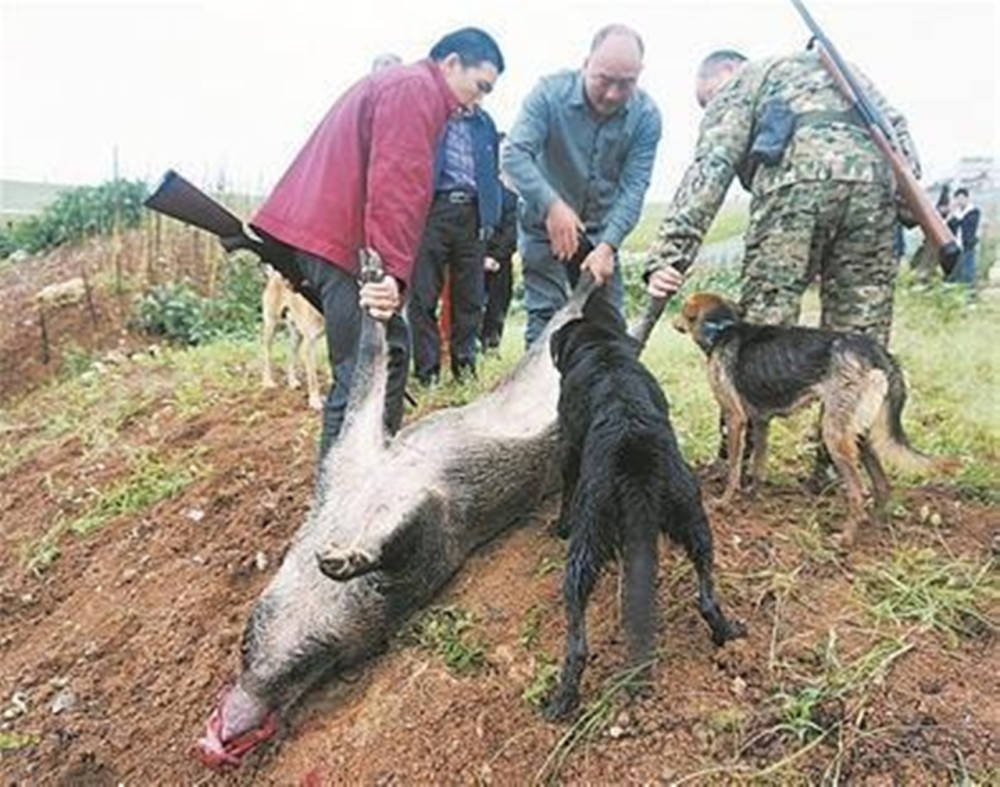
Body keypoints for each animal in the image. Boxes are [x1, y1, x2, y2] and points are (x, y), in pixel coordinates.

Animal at [544, 302, 748, 720]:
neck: (602, 348)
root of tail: (633, 452)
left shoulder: (569, 444)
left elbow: (565, 486)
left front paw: (558, 525)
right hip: (694, 517)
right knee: (706, 597)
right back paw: (726, 632)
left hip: (587, 541)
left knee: (577, 641)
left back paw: (563, 699)